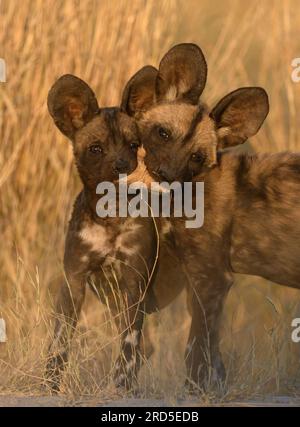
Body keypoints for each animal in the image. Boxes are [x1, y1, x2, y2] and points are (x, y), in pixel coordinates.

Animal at [45, 72, 185, 392]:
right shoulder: (74, 280)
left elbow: (128, 346)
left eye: (133, 145)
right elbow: (60, 340)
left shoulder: (134, 284)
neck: (110, 217)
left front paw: (122, 387)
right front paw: (48, 385)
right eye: (96, 149)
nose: (122, 166)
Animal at [120, 44, 300, 392]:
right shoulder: (200, 281)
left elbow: (196, 348)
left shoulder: (212, 278)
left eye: (196, 157)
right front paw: (210, 390)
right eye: (163, 133)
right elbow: (211, 352)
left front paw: (194, 392)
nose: (164, 174)